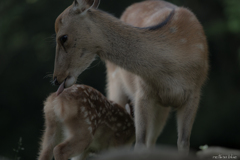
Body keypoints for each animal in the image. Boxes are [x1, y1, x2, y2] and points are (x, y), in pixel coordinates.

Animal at [52, 0, 208, 153]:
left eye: (63, 37)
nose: (56, 78)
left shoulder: (194, 94)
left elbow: (183, 143)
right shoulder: (142, 93)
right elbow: (140, 143)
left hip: (162, 108)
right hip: (114, 83)